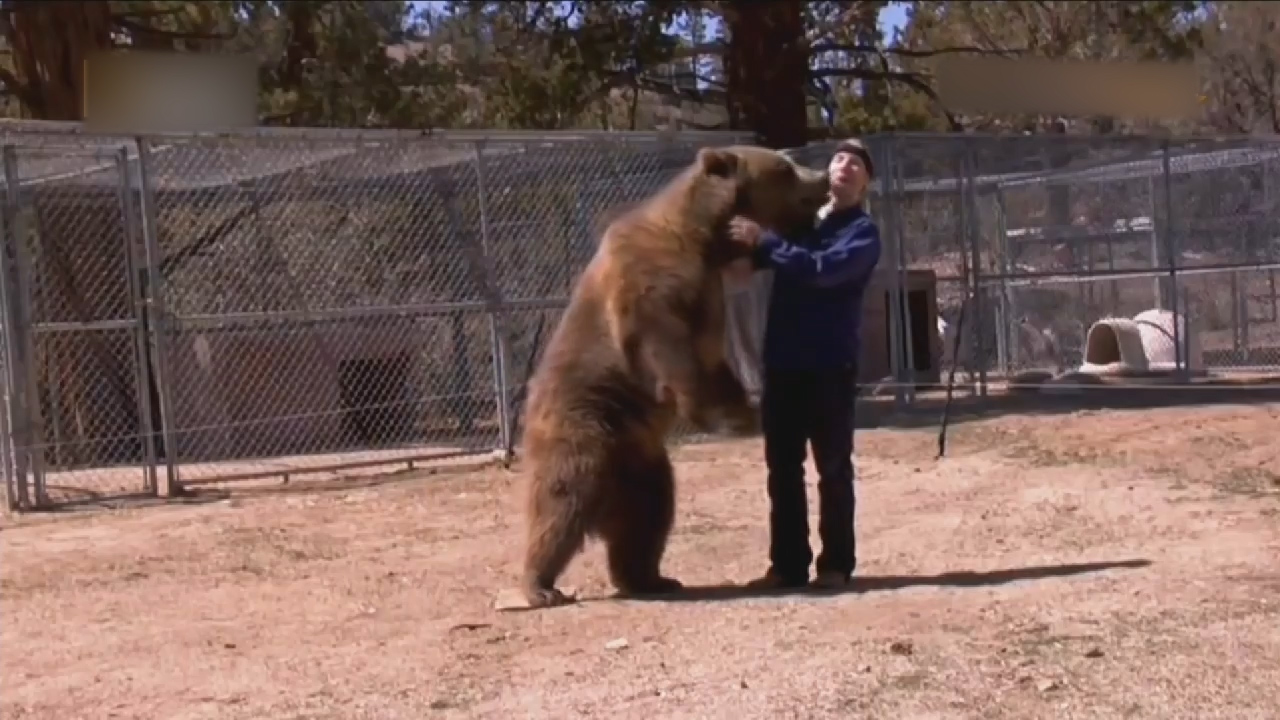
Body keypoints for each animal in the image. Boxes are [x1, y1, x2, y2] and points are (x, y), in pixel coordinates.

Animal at [517, 144, 829, 604]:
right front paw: (725, 417)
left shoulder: (709, 293)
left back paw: (648, 578)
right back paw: (541, 586)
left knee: (648, 518)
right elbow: (670, 346)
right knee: (562, 500)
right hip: (585, 423)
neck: (704, 240)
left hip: (644, 464)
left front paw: (744, 410)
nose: (823, 176)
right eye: (785, 167)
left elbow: (715, 360)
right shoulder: (653, 283)